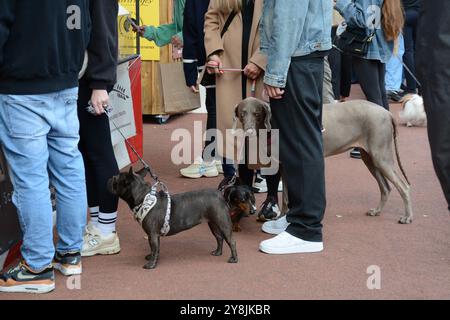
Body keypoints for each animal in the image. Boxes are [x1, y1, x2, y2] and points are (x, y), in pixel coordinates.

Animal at [234, 97, 414, 225]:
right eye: (242, 113)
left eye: (257, 113)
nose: (249, 132)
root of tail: (387, 112)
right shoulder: (284, 166)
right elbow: (285, 196)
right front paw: (283, 217)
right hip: (369, 158)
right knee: (386, 187)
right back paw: (377, 211)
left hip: (380, 156)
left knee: (403, 186)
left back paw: (407, 217)